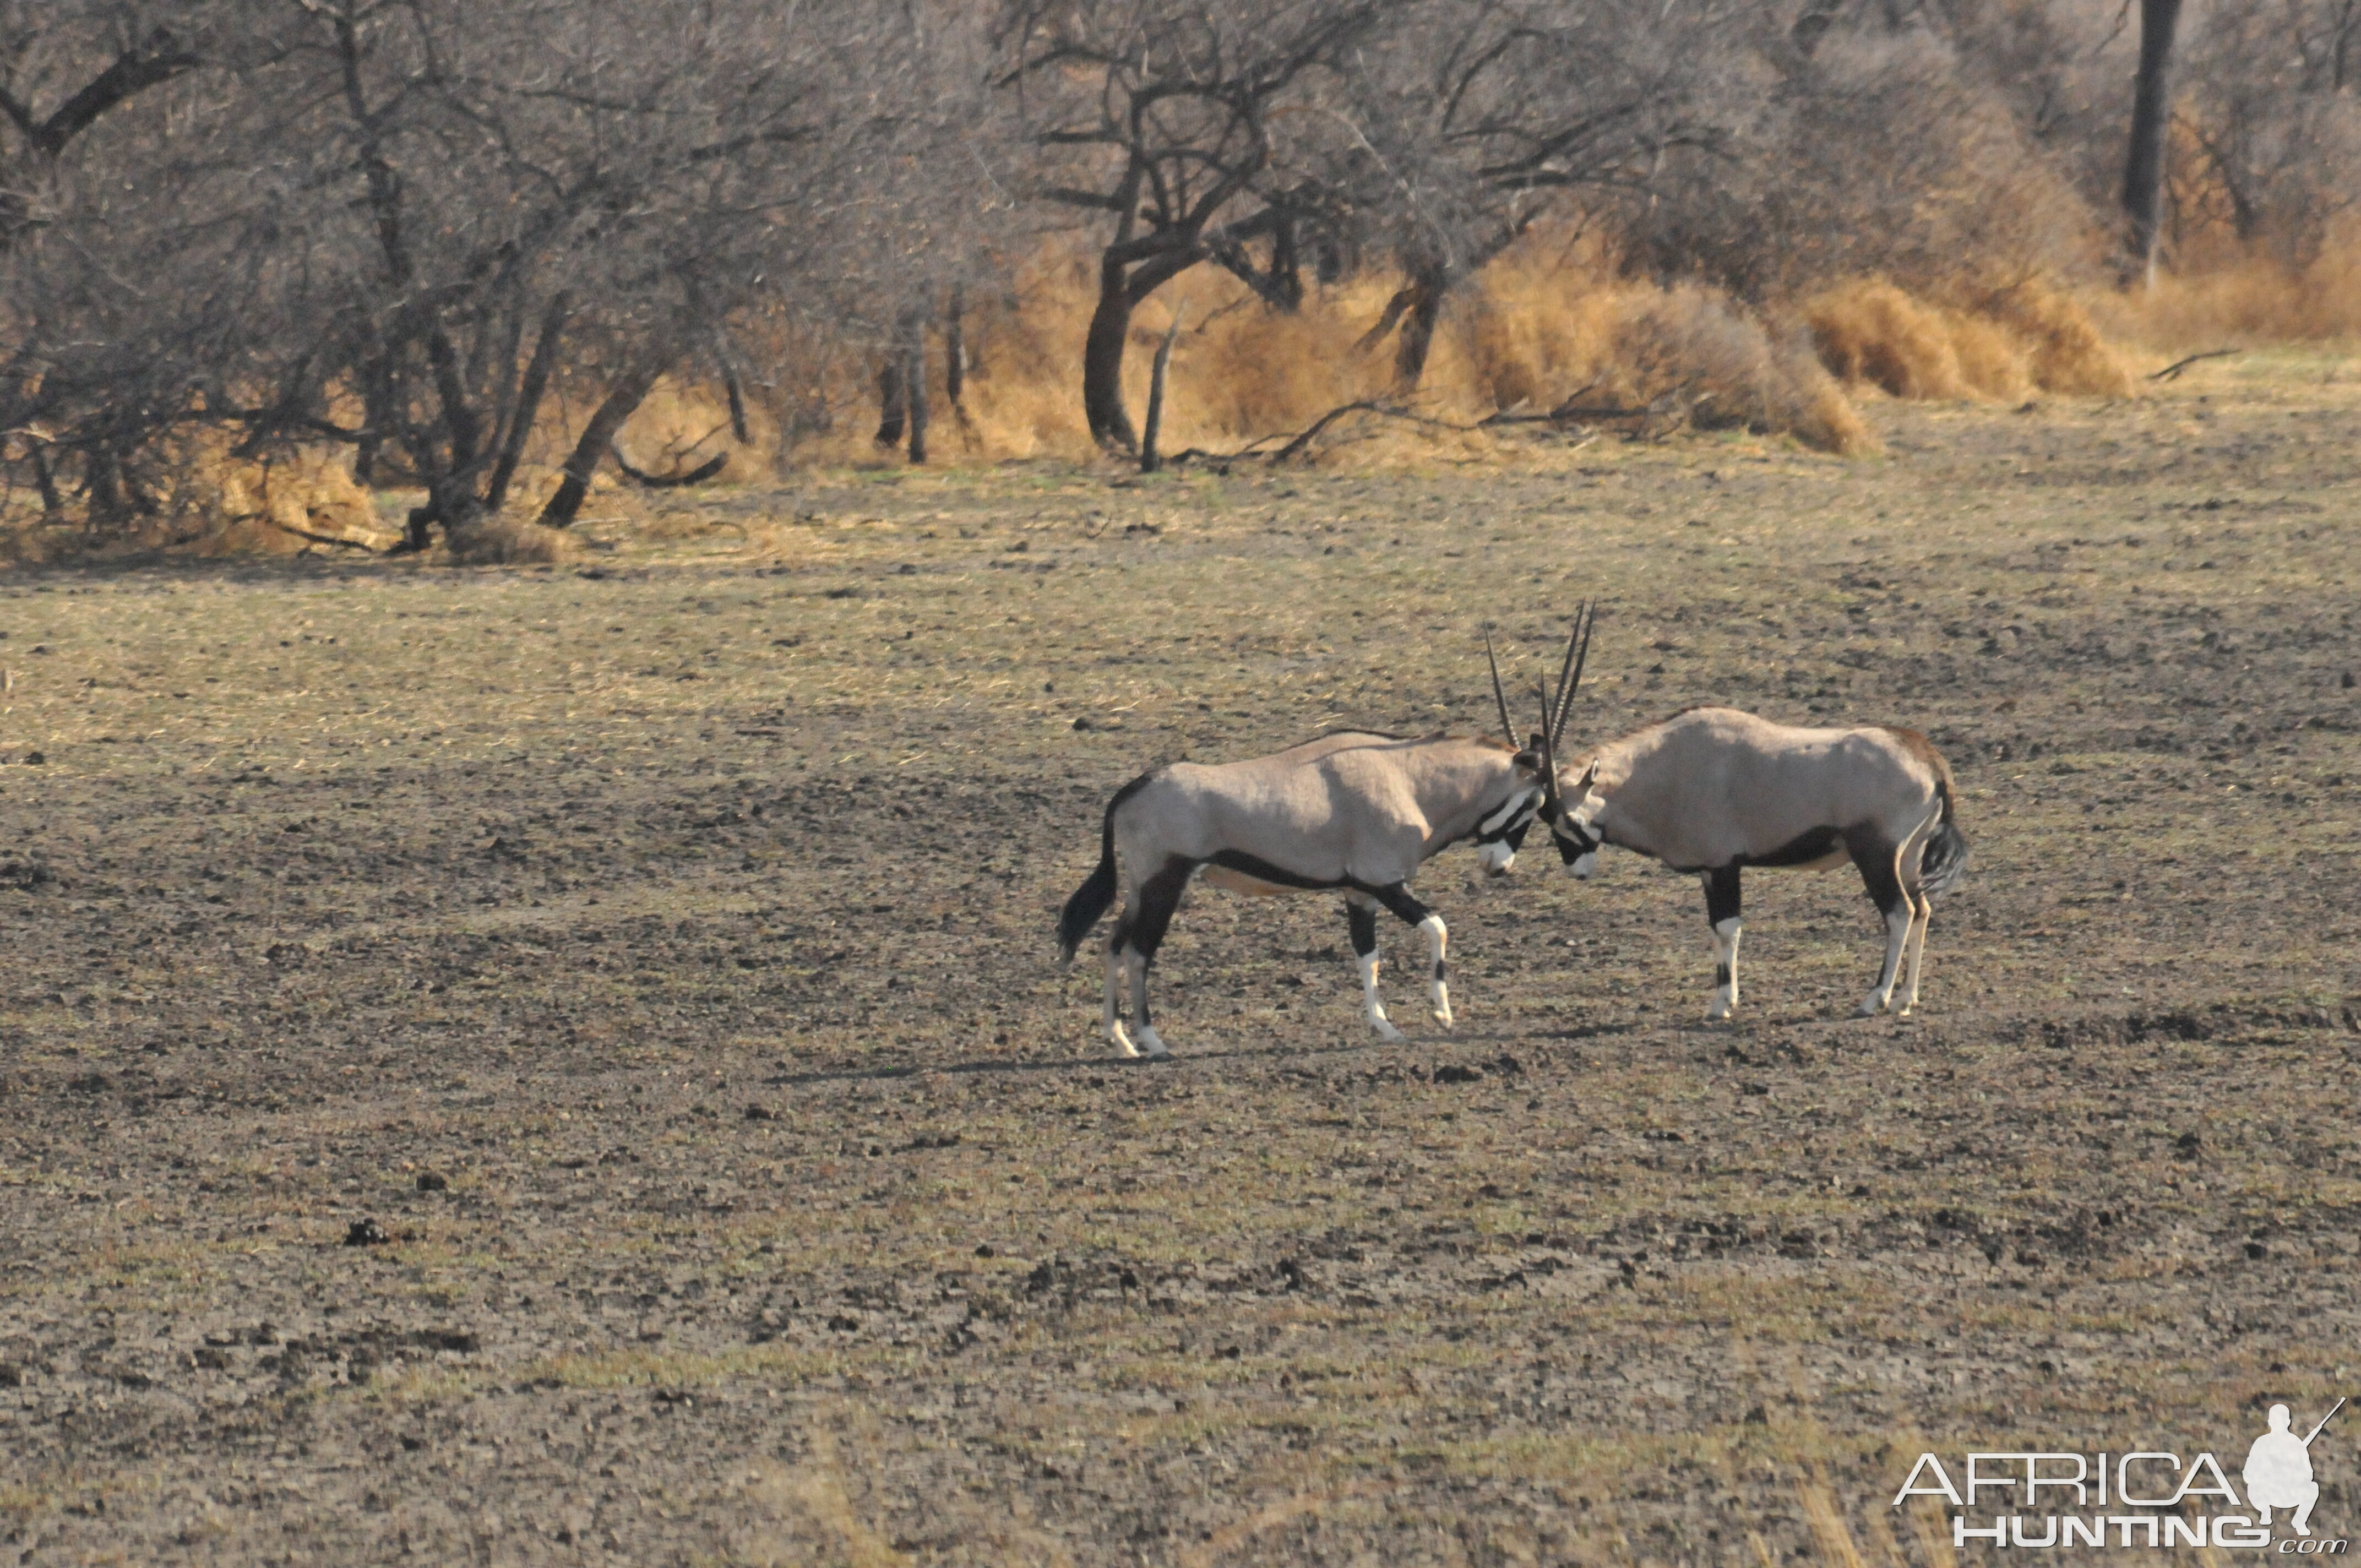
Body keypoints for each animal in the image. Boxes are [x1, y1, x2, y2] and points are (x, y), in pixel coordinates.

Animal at [1053, 675, 1568, 1053]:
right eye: (1535, 803)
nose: (1499, 867)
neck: (1409, 778)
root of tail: (1132, 789)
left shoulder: (1359, 892)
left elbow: (1368, 958)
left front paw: (1384, 1027)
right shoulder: (1385, 882)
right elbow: (1437, 927)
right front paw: (1441, 1013)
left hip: (1141, 889)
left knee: (1113, 945)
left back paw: (1120, 1040)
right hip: (1165, 885)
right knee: (1138, 953)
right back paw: (1153, 1043)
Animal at [1520, 600, 1964, 1015]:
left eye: (1567, 818)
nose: (1578, 871)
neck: (1665, 766)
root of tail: (1928, 758)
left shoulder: (1723, 864)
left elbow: (1727, 928)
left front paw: (1722, 1004)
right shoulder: (1708, 870)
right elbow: (1716, 930)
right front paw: (1724, 998)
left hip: (1875, 854)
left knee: (1900, 912)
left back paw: (1876, 999)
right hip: (1909, 855)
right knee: (1922, 909)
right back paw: (1906, 998)